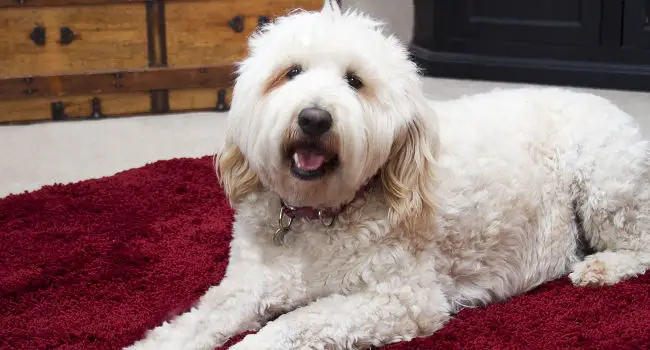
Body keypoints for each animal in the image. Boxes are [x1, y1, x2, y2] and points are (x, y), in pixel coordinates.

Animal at [126, 1, 648, 348]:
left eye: (355, 82)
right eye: (290, 72)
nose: (314, 118)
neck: (315, 213)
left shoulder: (399, 299)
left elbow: (288, 326)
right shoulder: (248, 284)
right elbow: (195, 321)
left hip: (607, 186)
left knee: (640, 243)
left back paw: (601, 268)